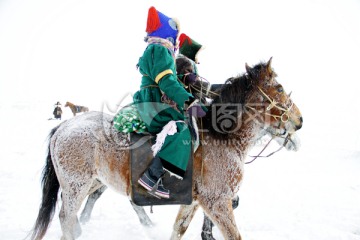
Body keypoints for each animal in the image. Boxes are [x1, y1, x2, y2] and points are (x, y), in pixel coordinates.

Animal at [29, 57, 302, 239]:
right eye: (279, 88)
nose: (299, 120)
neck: (222, 137)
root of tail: (63, 128)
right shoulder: (217, 202)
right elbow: (232, 235)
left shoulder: (195, 201)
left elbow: (179, 228)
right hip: (76, 185)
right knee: (66, 218)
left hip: (92, 182)